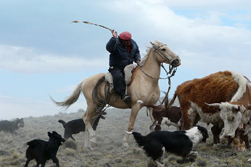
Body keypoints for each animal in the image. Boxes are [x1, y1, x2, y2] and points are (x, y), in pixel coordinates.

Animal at [51, 40, 180, 147]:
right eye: (163, 49)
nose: (177, 60)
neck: (147, 79)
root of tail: (86, 80)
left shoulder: (152, 106)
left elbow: (154, 125)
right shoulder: (136, 106)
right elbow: (130, 125)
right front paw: (125, 143)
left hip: (99, 106)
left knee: (89, 121)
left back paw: (88, 146)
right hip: (92, 104)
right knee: (86, 119)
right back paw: (92, 139)